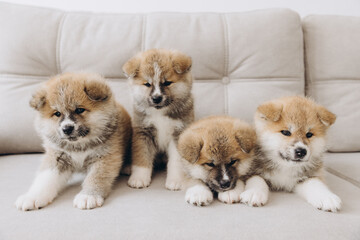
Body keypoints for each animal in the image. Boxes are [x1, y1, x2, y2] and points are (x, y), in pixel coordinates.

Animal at [15, 73, 132, 210]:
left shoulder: (104, 157)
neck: (79, 146)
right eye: (57, 113)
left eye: (79, 110)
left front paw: (88, 196)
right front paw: (32, 196)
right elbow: (44, 179)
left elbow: (96, 177)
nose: (67, 128)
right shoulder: (57, 157)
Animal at [122, 49, 193, 191]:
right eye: (147, 84)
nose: (156, 98)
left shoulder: (178, 134)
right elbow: (141, 158)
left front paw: (175, 180)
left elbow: (176, 162)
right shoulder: (143, 133)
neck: (159, 113)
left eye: (167, 83)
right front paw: (139, 178)